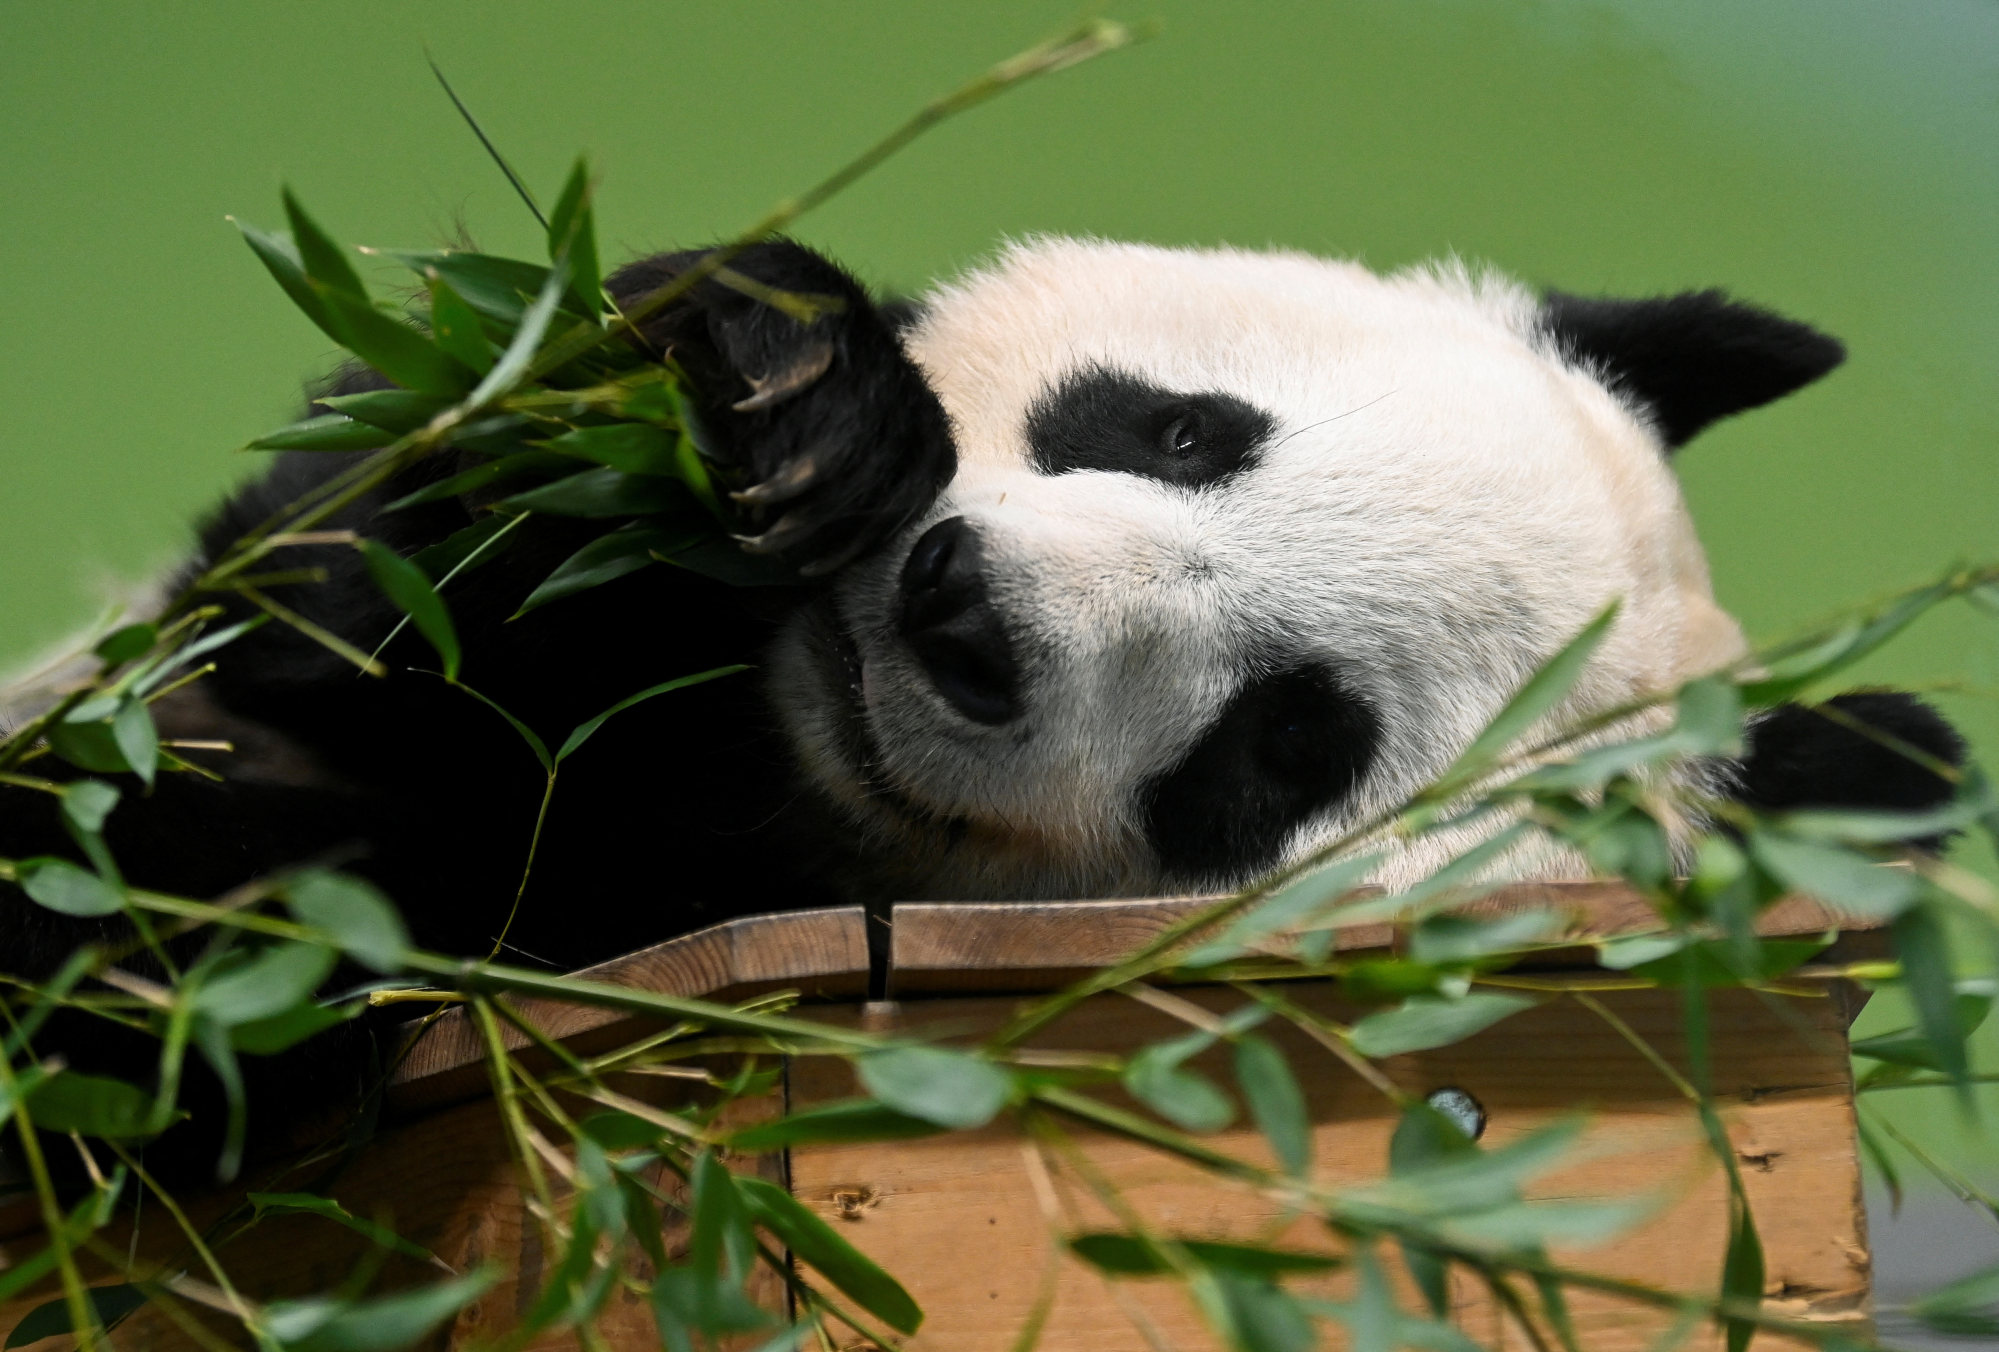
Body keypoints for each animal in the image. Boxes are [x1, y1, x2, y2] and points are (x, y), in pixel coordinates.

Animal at [0, 238, 1967, 1176]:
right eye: (1179, 429)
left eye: (1287, 741)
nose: (959, 616)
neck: (762, 756)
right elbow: (330, 597)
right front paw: (785, 397)